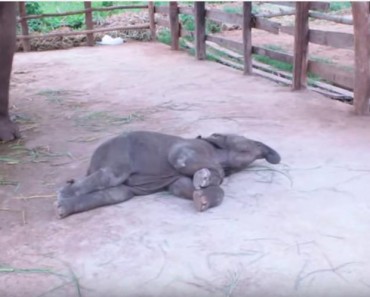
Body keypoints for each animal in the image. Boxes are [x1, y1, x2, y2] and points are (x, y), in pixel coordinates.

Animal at [56, 130, 280, 217]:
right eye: (249, 144)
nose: (273, 156)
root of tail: (91, 164)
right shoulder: (189, 148)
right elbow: (180, 159)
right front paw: (204, 177)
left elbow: (180, 187)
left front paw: (201, 198)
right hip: (117, 155)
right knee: (110, 176)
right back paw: (62, 194)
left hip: (119, 187)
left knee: (114, 194)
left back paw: (62, 208)